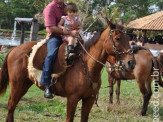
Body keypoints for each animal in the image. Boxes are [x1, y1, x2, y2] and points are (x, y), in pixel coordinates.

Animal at [0, 20, 134, 121]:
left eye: (128, 38)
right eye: (117, 38)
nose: (131, 62)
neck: (86, 66)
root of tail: (14, 49)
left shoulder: (89, 100)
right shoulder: (72, 99)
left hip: (24, 84)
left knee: (12, 107)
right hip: (17, 85)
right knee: (11, 106)